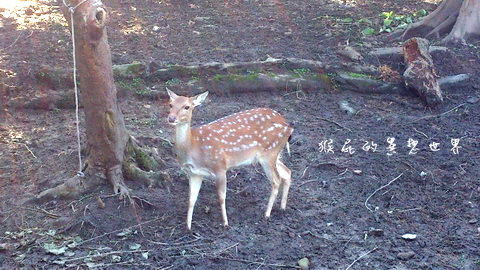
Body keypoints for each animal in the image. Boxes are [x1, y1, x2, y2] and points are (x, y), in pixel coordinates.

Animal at [165, 89, 292, 230]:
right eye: (170, 104)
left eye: (187, 107)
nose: (171, 118)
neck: (194, 146)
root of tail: (288, 125)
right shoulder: (194, 173)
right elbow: (191, 200)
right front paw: (188, 227)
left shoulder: (220, 166)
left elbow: (221, 197)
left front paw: (225, 223)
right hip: (275, 153)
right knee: (287, 172)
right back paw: (282, 208)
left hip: (269, 153)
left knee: (276, 180)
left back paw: (267, 214)